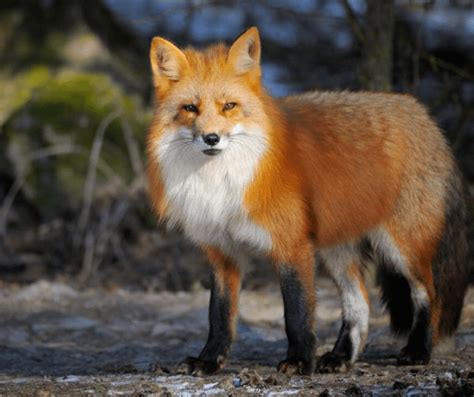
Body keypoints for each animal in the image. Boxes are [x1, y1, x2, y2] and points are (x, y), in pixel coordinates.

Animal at [146, 27, 468, 374]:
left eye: (229, 106)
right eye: (190, 108)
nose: (211, 138)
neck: (223, 181)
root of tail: (422, 113)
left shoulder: (293, 244)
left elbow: (296, 311)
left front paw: (299, 359)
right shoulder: (222, 251)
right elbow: (218, 315)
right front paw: (209, 360)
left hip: (402, 245)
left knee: (429, 294)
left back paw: (419, 350)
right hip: (337, 249)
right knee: (360, 303)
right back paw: (341, 356)